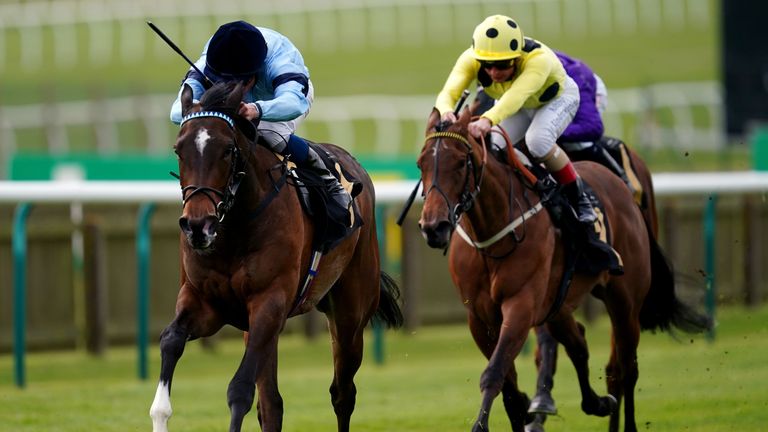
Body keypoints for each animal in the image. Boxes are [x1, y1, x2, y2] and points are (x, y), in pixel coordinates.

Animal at [147, 82, 404, 432]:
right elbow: (170, 339)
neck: (234, 230)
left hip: (350, 314)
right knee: (272, 404)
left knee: (342, 393)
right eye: (178, 149)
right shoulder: (207, 304)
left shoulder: (269, 302)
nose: (198, 225)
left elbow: (239, 390)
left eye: (227, 149)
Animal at [416, 108, 712, 432]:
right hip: (556, 305)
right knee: (580, 343)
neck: (492, 235)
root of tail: (619, 184)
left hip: (625, 300)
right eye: (421, 164)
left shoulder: (520, 305)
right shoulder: (480, 318)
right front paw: (528, 409)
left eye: (460, 162)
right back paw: (596, 402)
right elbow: (510, 388)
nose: (433, 227)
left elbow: (494, 372)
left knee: (625, 367)